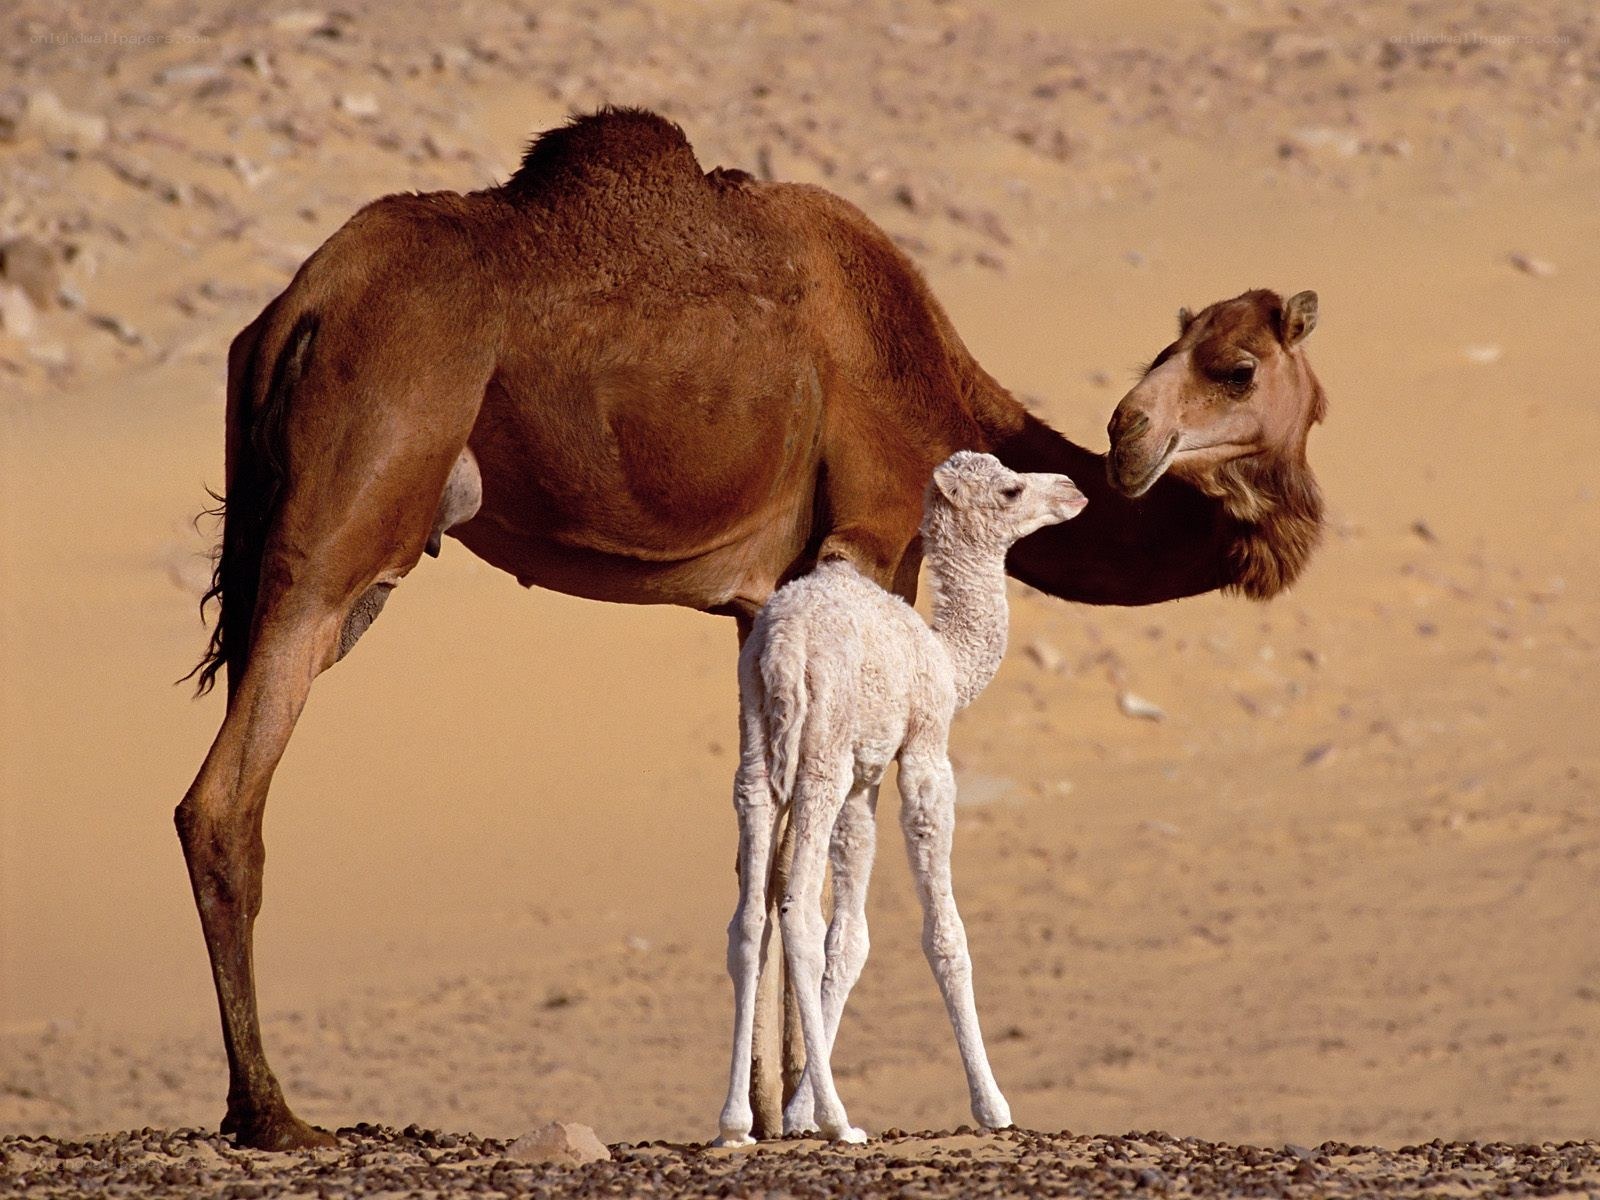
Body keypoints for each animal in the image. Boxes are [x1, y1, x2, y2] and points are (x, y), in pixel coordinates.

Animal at [716, 452, 1088, 1146]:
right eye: (1011, 489)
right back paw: (841, 1122)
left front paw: (799, 1113)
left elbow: (852, 940)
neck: (946, 656)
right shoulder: (923, 752)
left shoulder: (864, 780)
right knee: (797, 911)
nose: (1074, 490)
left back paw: (734, 1122)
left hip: (757, 748)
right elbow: (945, 932)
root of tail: (783, 645)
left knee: (750, 916)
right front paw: (992, 1106)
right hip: (821, 753)